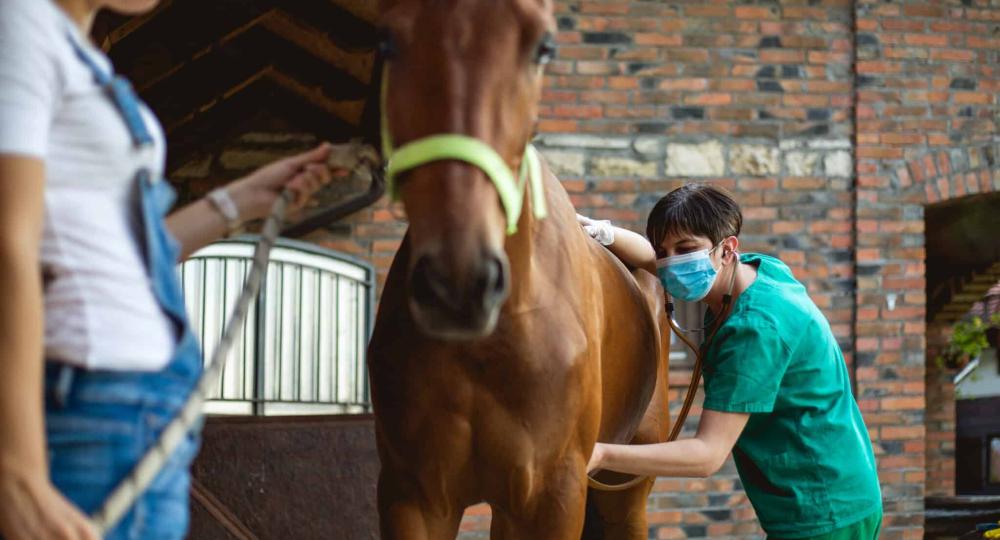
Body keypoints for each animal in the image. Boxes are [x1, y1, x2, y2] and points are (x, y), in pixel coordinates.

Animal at [368, 0, 672, 536]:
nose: (458, 285)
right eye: (386, 40)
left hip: (625, 493)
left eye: (543, 46)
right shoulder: (414, 496)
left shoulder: (551, 497)